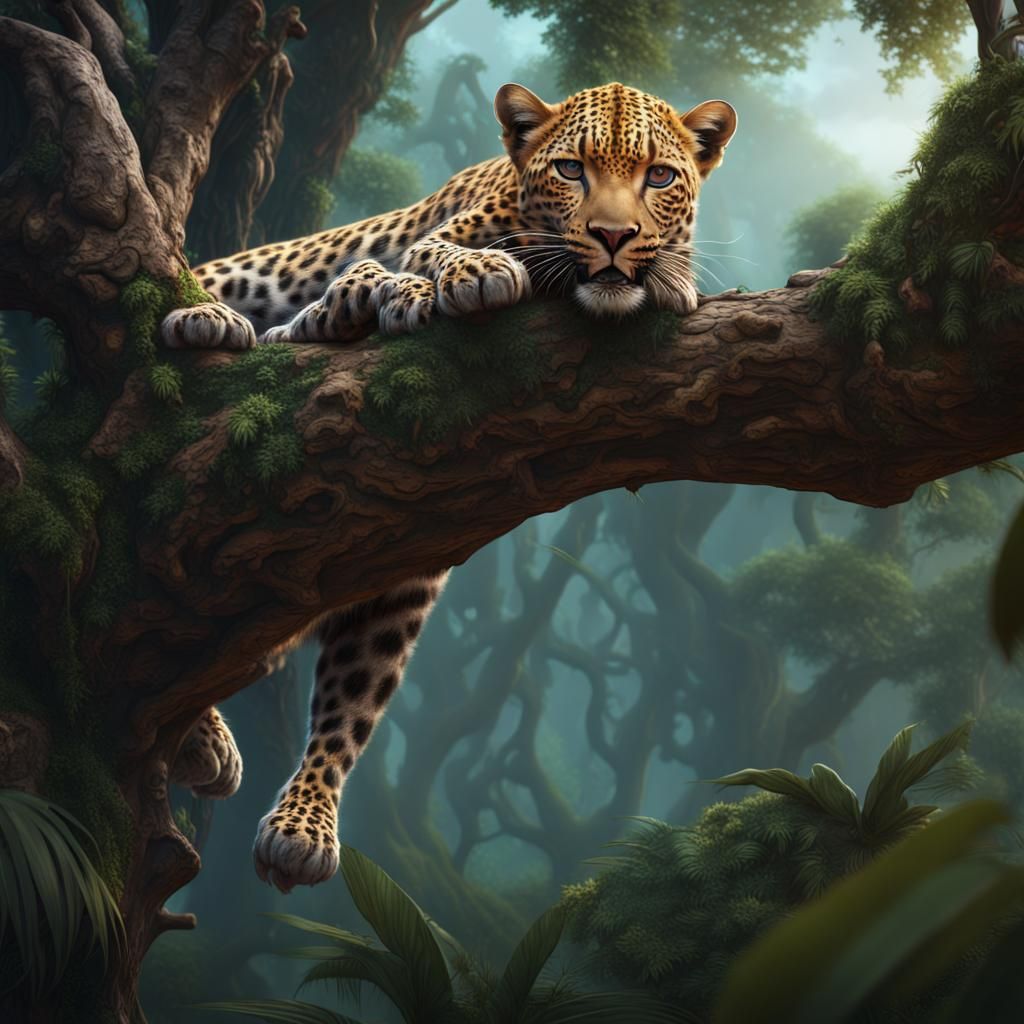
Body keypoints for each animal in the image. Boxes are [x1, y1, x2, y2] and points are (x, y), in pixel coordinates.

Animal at [163, 81, 737, 892]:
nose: (613, 237)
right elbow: (435, 256)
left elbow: (354, 698)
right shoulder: (438, 237)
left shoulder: (408, 569)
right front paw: (458, 281)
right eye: (571, 170)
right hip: (255, 271)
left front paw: (303, 825)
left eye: (659, 177)